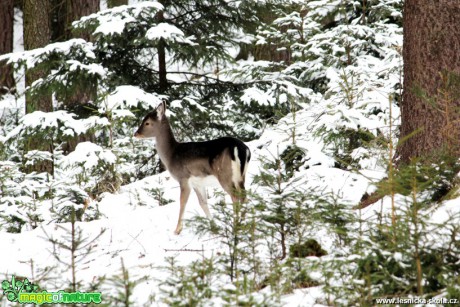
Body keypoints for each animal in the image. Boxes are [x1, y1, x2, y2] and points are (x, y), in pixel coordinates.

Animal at [135, 102, 252, 235]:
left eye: (147, 122)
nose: (136, 134)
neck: (171, 155)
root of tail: (242, 149)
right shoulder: (198, 183)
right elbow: (203, 203)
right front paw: (213, 227)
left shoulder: (183, 177)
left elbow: (182, 202)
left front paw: (177, 230)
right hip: (241, 176)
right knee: (244, 196)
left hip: (225, 175)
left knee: (236, 197)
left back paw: (236, 226)